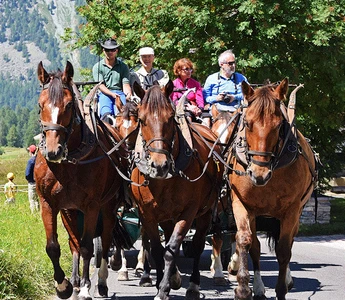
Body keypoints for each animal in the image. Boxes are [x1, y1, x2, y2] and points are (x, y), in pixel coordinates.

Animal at [34, 61, 127, 300]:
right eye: (40, 105)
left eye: (68, 105)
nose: (53, 151)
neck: (68, 163)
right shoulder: (49, 204)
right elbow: (54, 246)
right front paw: (64, 285)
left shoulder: (92, 205)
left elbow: (88, 247)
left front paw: (86, 287)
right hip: (71, 211)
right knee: (74, 242)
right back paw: (75, 284)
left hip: (108, 205)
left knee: (104, 239)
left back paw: (100, 282)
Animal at [129, 81, 223, 298]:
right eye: (141, 119)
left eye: (170, 117)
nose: (159, 165)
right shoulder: (147, 212)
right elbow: (157, 249)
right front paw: (161, 282)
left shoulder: (189, 211)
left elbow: (172, 247)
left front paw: (164, 288)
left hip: (205, 212)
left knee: (197, 244)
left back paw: (193, 285)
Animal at [227, 79, 316, 300]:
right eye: (247, 123)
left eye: (278, 125)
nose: (259, 173)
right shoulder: (242, 204)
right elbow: (246, 241)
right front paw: (243, 288)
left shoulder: (291, 210)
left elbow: (284, 250)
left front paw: (281, 289)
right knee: (255, 246)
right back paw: (257, 286)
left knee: (289, 243)